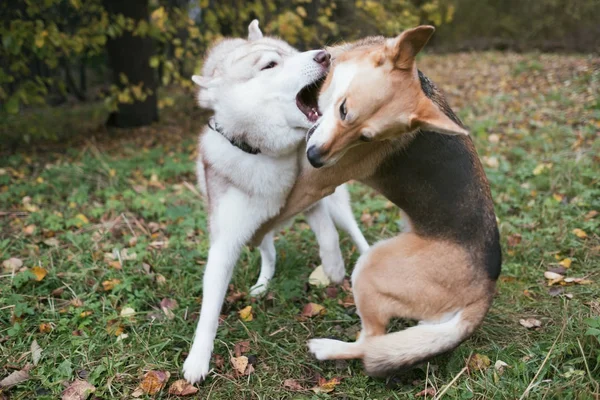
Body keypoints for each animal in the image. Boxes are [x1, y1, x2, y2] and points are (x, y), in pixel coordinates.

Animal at [184, 20, 370, 382]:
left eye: (291, 52)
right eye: (270, 65)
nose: (325, 55)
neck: (266, 154)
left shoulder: (313, 199)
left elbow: (328, 236)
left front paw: (334, 269)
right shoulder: (224, 242)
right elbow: (210, 308)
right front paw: (198, 358)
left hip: (337, 203)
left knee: (352, 231)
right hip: (258, 228)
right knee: (268, 249)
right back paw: (262, 284)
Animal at [255, 25, 500, 376]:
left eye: (365, 138)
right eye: (343, 110)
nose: (315, 158)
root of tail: (486, 289)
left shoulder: (310, 185)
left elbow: (270, 215)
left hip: (370, 268)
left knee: (371, 343)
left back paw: (328, 349)